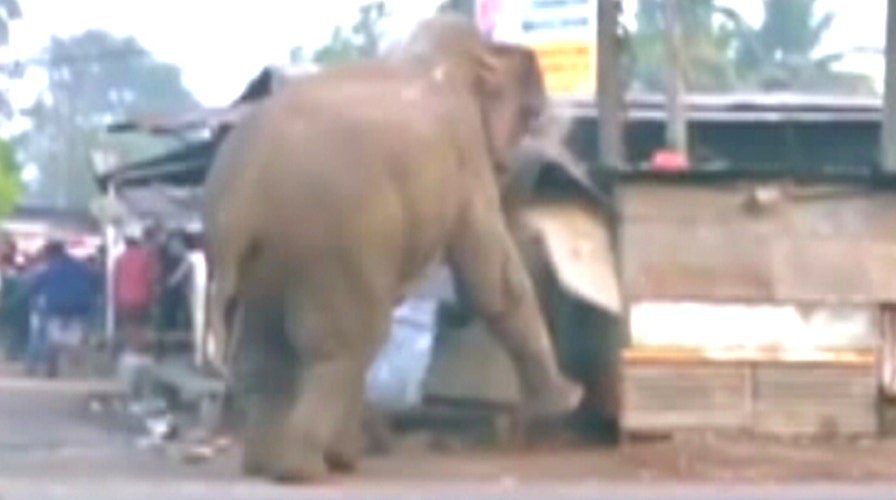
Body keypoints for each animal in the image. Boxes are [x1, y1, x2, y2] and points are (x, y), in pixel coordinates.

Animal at [202, 13, 583, 483]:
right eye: (530, 116)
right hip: (331, 242)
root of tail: (237, 197)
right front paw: (569, 399)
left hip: (271, 255)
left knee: (267, 349)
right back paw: (312, 467)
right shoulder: (466, 154)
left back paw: (273, 464)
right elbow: (491, 278)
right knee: (345, 343)